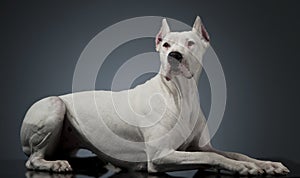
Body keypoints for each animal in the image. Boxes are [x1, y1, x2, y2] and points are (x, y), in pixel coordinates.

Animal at [19, 16, 290, 175]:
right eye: (166, 44)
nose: (174, 56)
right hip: (54, 105)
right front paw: (244, 167)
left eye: (190, 43)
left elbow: (227, 152)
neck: (181, 94)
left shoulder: (198, 145)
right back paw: (54, 164)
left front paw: (265, 163)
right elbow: (210, 156)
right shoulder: (161, 156)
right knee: (33, 159)